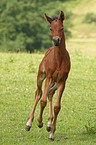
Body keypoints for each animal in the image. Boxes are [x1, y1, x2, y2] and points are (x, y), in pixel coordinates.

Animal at [25, 11, 70, 140]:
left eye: (62, 27)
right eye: (50, 28)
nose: (56, 41)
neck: (59, 60)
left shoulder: (62, 81)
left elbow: (57, 106)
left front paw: (52, 133)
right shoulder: (49, 77)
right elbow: (43, 100)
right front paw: (39, 122)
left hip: (55, 83)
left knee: (50, 94)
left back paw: (49, 123)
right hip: (41, 77)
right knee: (38, 94)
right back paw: (29, 123)